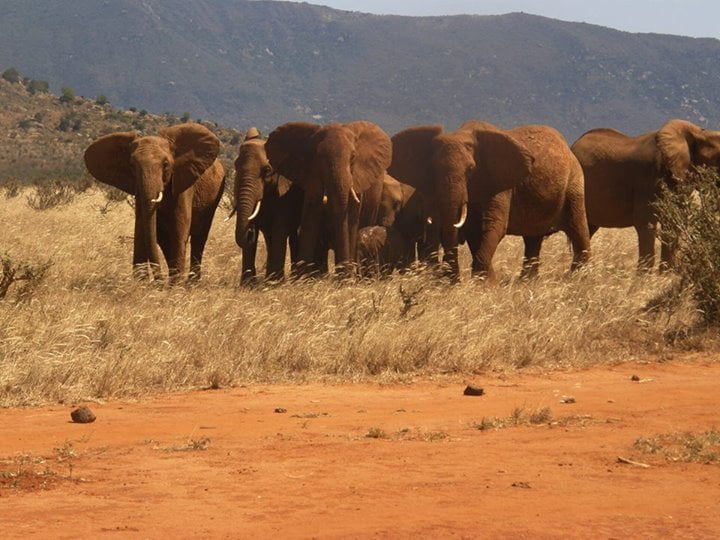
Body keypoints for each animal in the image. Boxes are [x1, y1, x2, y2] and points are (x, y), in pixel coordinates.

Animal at [84, 123, 224, 281]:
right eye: (132, 166)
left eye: (166, 164)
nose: (158, 280)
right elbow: (141, 227)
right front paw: (141, 282)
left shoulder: (183, 182)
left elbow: (179, 226)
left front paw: (174, 284)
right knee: (163, 239)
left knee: (199, 236)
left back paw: (191, 282)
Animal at [231, 128, 303, 284]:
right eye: (236, 166)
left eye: (267, 170)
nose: (250, 232)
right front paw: (248, 285)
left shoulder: (286, 192)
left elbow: (279, 229)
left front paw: (274, 284)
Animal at [265, 121, 392, 276]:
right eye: (318, 157)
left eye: (353, 157)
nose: (344, 272)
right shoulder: (311, 174)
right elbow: (311, 214)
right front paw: (303, 277)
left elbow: (351, 220)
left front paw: (346, 277)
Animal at [389, 121, 591, 280]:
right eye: (433, 170)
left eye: (471, 170)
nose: (449, 277)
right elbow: (473, 231)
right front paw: (485, 282)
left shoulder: (499, 184)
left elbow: (494, 226)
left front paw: (483, 283)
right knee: (533, 240)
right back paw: (527, 282)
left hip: (575, 183)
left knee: (577, 228)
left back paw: (577, 279)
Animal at [571, 119, 720, 270]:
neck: (701, 133)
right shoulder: (648, 181)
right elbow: (646, 224)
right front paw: (645, 275)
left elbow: (673, 224)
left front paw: (665, 274)